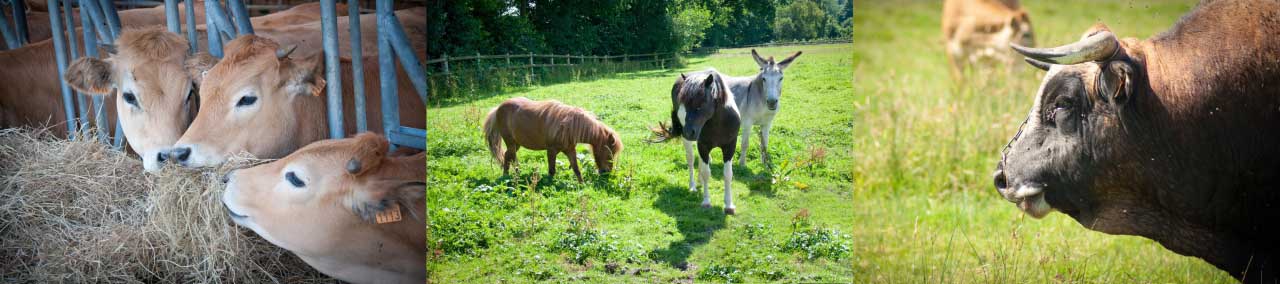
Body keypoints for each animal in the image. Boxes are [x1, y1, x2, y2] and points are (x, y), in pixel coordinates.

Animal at [481, 97, 622, 181]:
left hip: (516, 144)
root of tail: (497, 109)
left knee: (507, 156)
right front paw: (549, 184)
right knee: (512, 157)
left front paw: (582, 185)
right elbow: (552, 170)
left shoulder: (570, 150)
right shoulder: (551, 151)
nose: (606, 173)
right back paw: (513, 175)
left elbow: (576, 168)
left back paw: (507, 176)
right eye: (609, 153)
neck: (568, 126)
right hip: (510, 142)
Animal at [650, 70, 742, 213]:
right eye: (683, 105)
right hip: (688, 142)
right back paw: (692, 186)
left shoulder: (730, 146)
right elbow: (706, 173)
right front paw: (706, 202)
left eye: (700, 104)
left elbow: (727, 174)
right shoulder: (703, 145)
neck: (718, 123)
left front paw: (729, 205)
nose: (688, 132)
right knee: (691, 159)